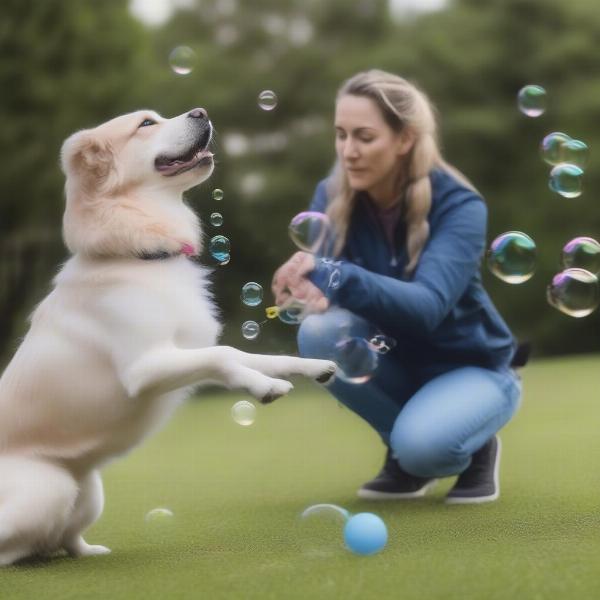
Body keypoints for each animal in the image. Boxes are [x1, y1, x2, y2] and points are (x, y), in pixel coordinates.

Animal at [0, 109, 336, 568]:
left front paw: (313, 367)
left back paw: (88, 551)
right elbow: (225, 355)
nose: (201, 112)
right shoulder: (146, 367)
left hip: (89, 492)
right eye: (146, 124)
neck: (139, 257)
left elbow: (253, 353)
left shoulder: (185, 352)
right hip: (50, 488)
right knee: (21, 544)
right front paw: (264, 387)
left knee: (65, 537)